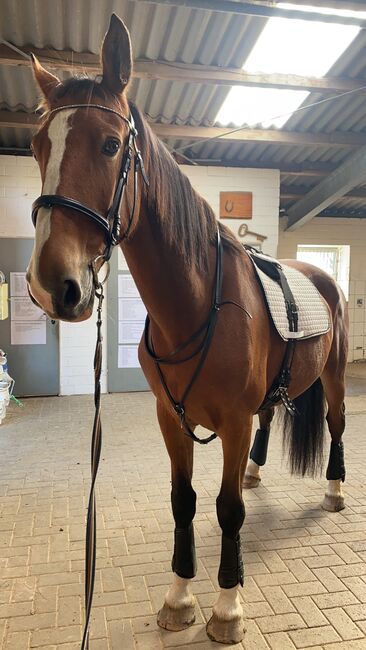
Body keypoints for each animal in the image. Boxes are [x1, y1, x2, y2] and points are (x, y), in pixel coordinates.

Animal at [27, 13, 348, 644]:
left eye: (110, 145)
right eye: (36, 147)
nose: (54, 285)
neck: (198, 307)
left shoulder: (231, 423)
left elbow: (226, 511)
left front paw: (226, 606)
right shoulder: (171, 420)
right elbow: (183, 501)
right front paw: (178, 596)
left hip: (337, 379)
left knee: (337, 423)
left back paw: (334, 490)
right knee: (270, 424)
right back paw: (256, 472)